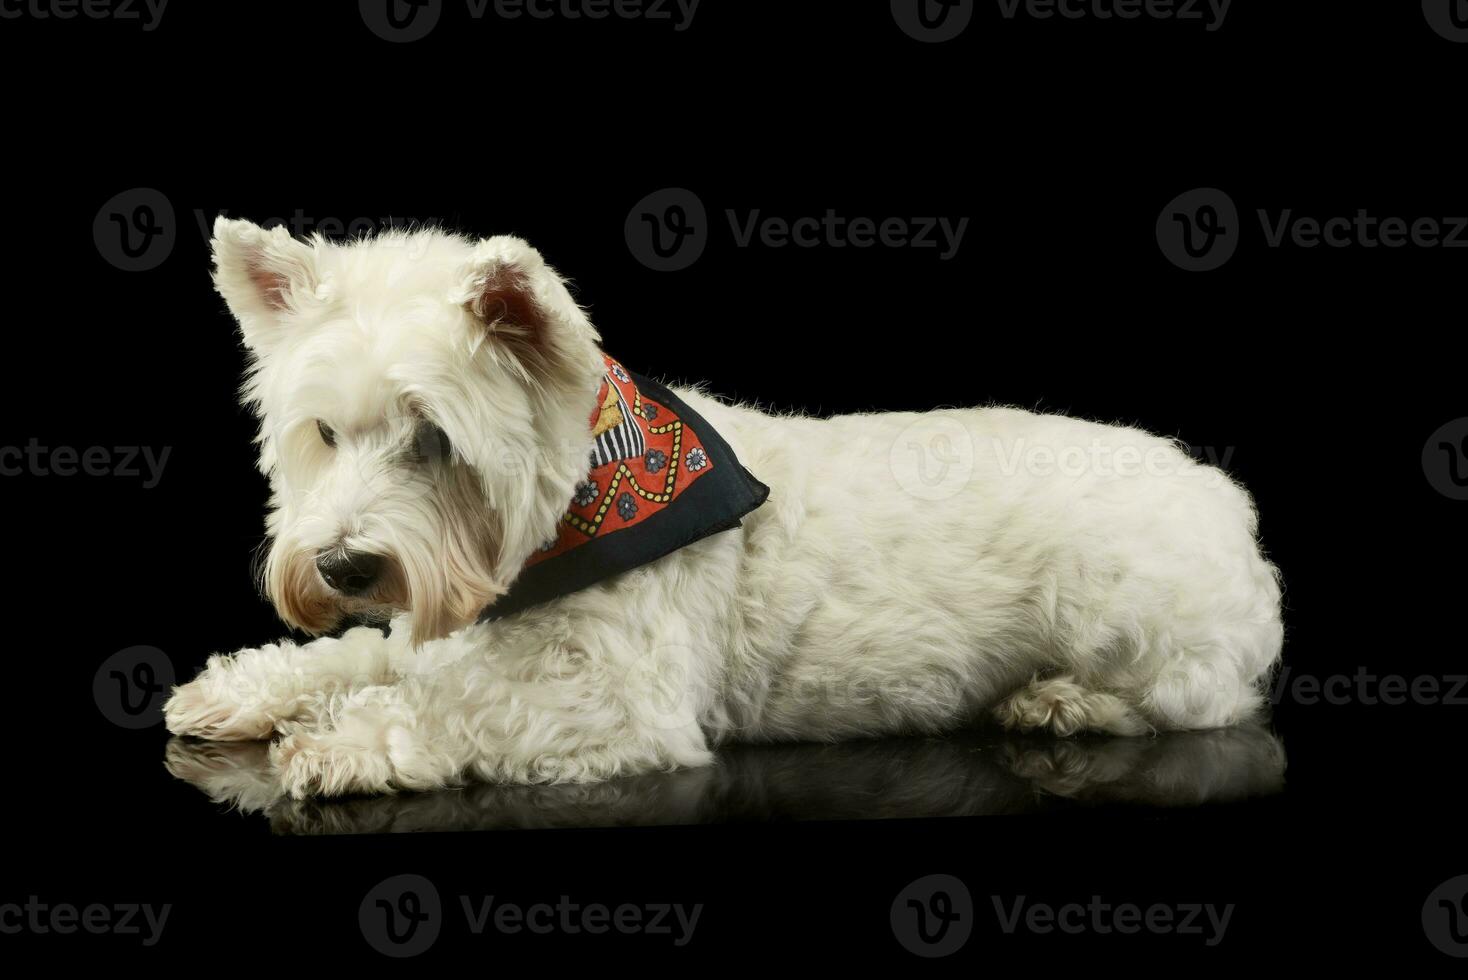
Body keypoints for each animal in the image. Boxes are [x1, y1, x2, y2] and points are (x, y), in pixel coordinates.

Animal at [163, 218, 1285, 798]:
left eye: (434, 438)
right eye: (324, 432)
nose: (343, 566)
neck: (570, 514)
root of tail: (1226, 499)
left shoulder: (618, 700)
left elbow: (456, 705)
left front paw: (340, 741)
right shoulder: (440, 627)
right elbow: (363, 654)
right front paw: (243, 690)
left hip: (1133, 618)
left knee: (1204, 698)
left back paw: (1060, 701)